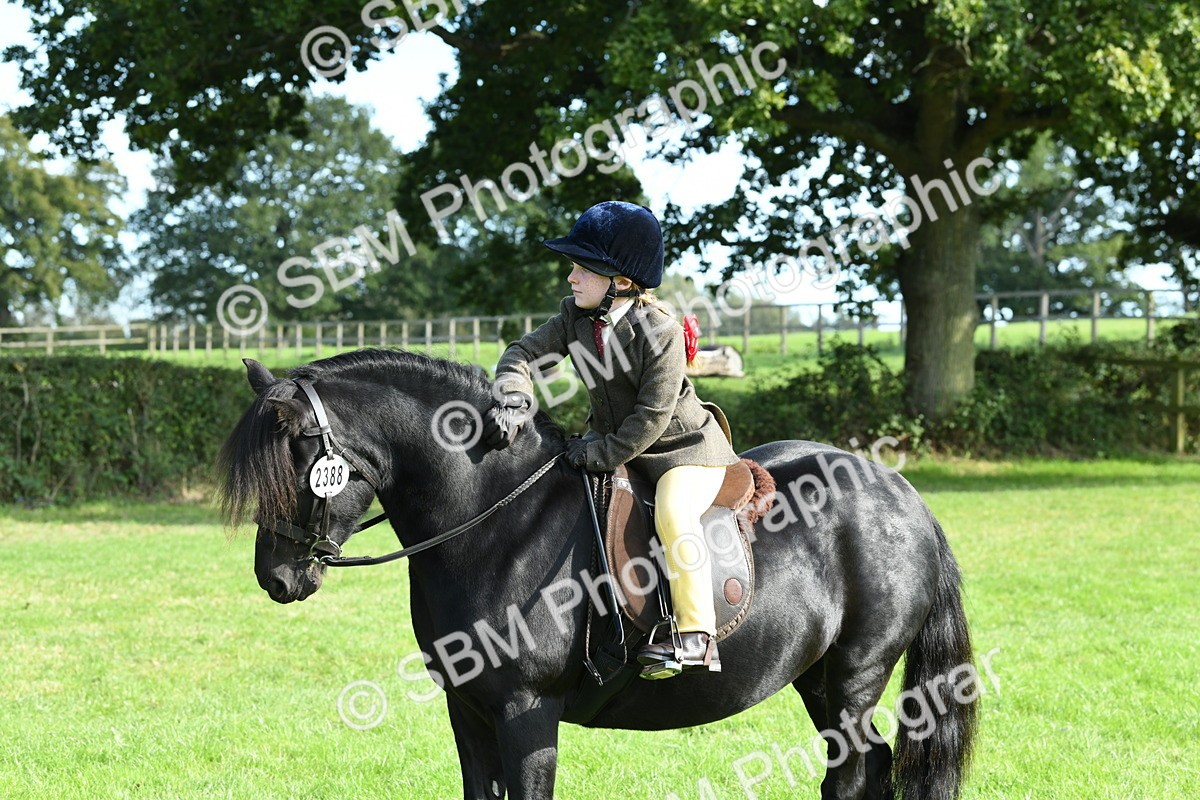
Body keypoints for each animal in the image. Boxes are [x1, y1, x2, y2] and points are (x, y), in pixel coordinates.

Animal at [217, 349, 977, 800]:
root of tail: (904, 496)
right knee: (872, 769)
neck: (495, 518)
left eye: (298, 456)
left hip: (854, 676)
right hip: (817, 679)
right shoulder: (468, 711)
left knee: (850, 778)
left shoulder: (526, 712)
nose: (276, 576)